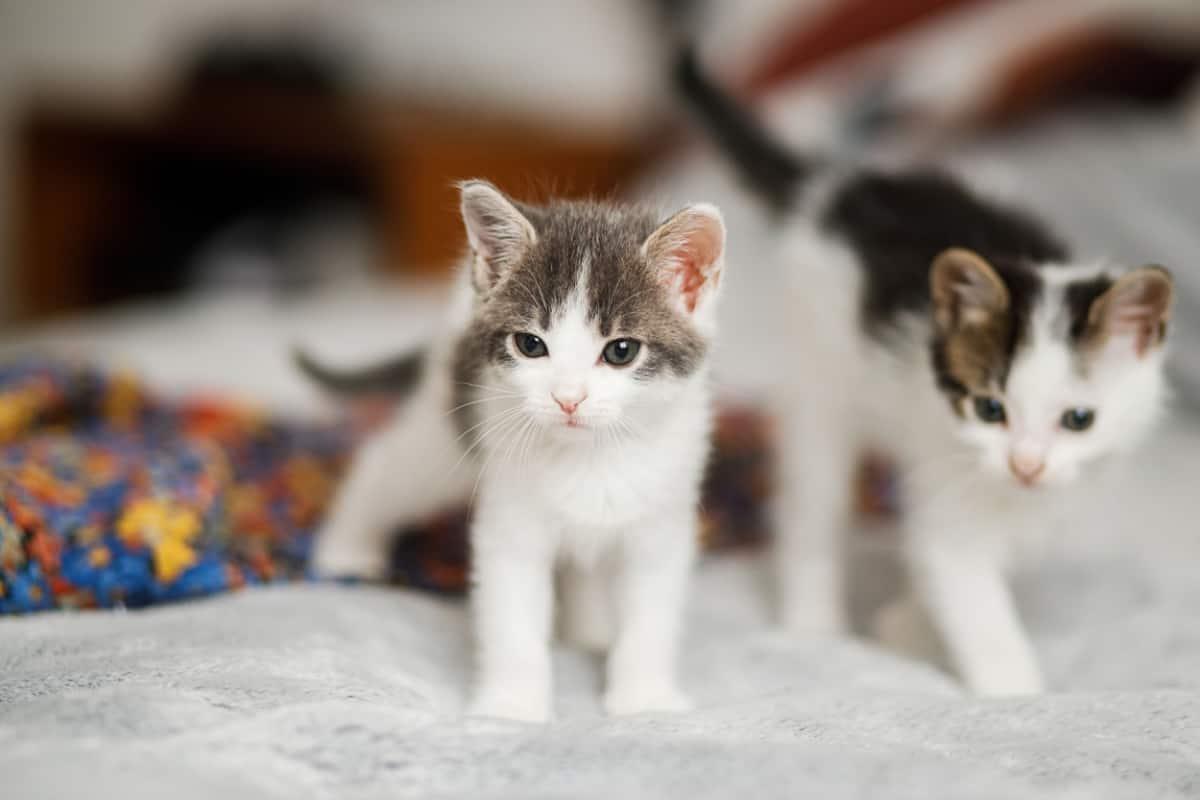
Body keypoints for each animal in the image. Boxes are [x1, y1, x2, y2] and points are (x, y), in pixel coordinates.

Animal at [304, 184, 724, 724]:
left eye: (621, 351)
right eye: (530, 344)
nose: (568, 398)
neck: (589, 457)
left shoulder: (662, 519)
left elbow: (652, 613)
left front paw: (644, 700)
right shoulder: (510, 519)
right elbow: (512, 617)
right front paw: (512, 708)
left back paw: (588, 630)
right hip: (446, 434)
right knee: (387, 464)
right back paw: (346, 552)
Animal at [676, 48, 1171, 695]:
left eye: (1079, 420)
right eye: (990, 408)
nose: (1027, 465)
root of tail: (839, 186)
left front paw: (908, 624)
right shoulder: (950, 470)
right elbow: (966, 586)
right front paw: (1015, 690)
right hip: (821, 375)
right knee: (813, 499)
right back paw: (814, 626)